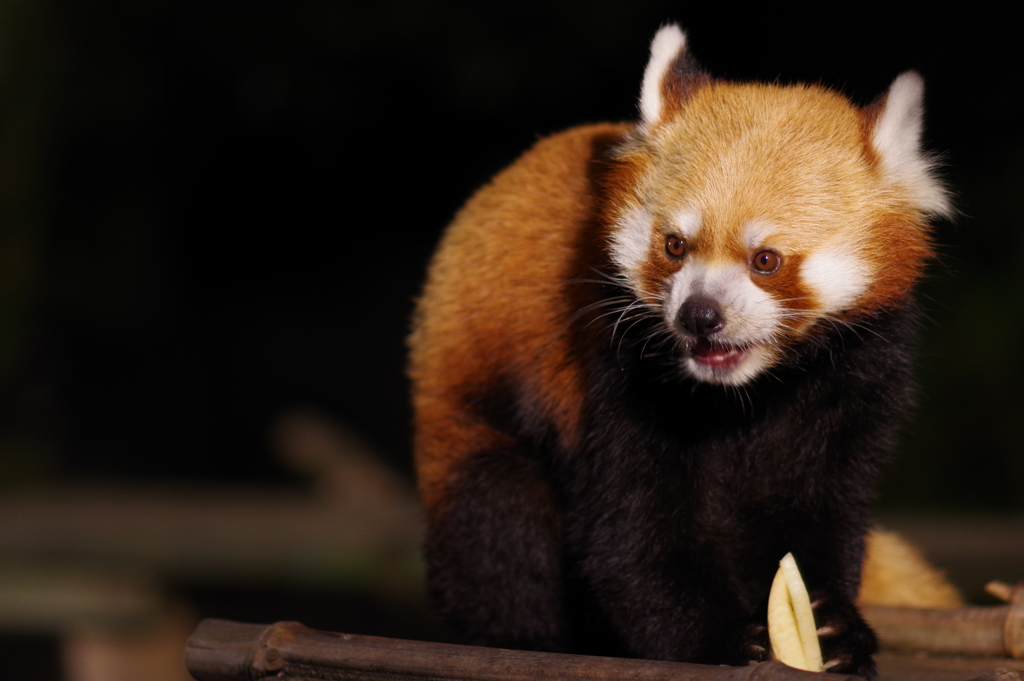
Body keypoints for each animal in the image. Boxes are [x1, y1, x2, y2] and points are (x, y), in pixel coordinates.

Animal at [411, 25, 954, 675]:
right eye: (675, 246)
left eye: (765, 260)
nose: (700, 315)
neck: (746, 393)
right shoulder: (612, 367)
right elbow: (630, 534)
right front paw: (719, 643)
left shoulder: (860, 371)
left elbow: (820, 513)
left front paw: (833, 627)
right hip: (469, 424)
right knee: (498, 525)